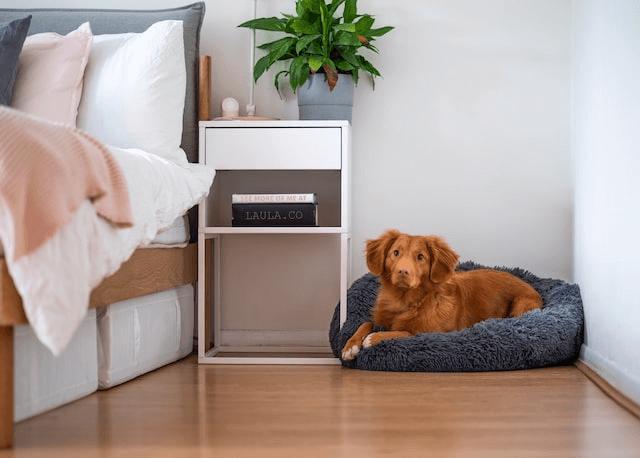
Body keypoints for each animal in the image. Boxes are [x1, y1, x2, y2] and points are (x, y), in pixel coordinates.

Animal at [342, 231, 544, 360]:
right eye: (395, 253)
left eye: (420, 257)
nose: (403, 272)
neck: (404, 300)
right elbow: (365, 323)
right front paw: (350, 346)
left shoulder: (429, 333)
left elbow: (404, 332)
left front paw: (372, 338)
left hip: (521, 304)